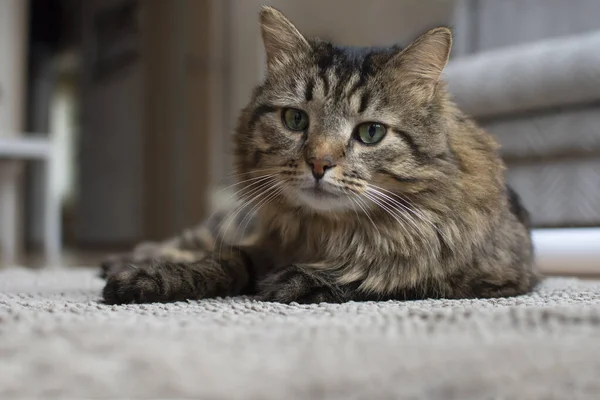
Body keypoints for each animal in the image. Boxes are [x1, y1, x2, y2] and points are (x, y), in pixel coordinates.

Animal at [99, 5, 540, 304]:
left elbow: (394, 274)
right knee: (196, 239)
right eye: (295, 119)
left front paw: (300, 280)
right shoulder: (260, 244)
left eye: (371, 132)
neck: (329, 235)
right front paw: (150, 278)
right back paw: (124, 260)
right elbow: (224, 260)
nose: (319, 163)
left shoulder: (498, 277)